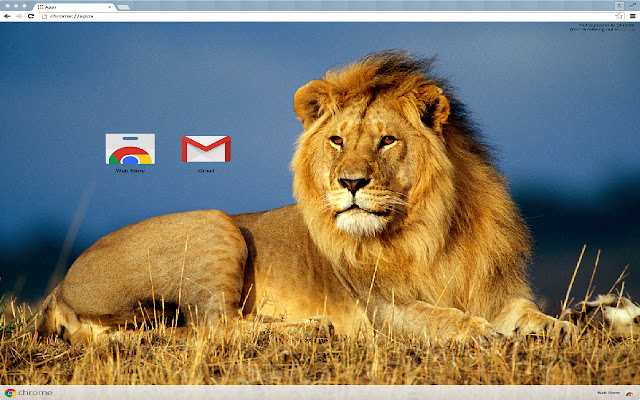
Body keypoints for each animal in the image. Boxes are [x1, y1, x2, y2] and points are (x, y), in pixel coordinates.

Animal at [36, 50, 576, 345]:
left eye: (387, 140)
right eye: (337, 140)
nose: (351, 183)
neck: (433, 229)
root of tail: (59, 289)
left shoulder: (494, 290)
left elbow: (529, 314)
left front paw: (562, 328)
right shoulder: (383, 308)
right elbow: (439, 316)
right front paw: (479, 332)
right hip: (215, 225)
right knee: (214, 328)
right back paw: (311, 329)